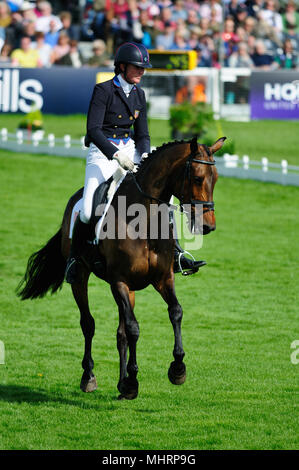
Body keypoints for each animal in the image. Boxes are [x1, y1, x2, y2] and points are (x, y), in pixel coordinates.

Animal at [16, 136, 226, 400]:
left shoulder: (163, 278)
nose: (208, 226)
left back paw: (121, 383)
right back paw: (89, 377)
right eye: (197, 178)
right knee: (88, 324)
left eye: (215, 178)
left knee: (120, 332)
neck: (144, 221)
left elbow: (175, 312)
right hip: (81, 278)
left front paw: (176, 369)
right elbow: (134, 328)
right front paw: (134, 380)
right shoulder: (119, 281)